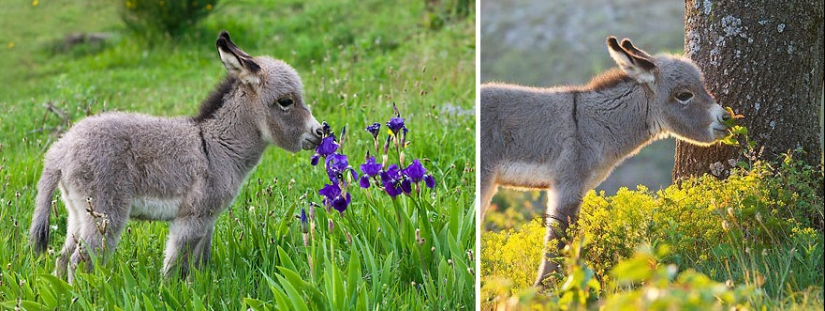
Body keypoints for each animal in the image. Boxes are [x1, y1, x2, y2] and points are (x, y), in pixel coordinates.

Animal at [29, 31, 326, 282]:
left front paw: (201, 288)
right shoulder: (191, 219)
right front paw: (168, 292)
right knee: (79, 262)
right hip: (105, 213)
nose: (321, 132)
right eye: (286, 102)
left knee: (62, 259)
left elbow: (200, 263)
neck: (216, 146)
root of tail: (60, 150)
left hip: (77, 212)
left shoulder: (208, 220)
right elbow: (174, 267)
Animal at [480, 37, 732, 288]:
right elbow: (558, 241)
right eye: (684, 95)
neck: (591, 124)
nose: (726, 118)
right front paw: (547, 289)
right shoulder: (568, 185)